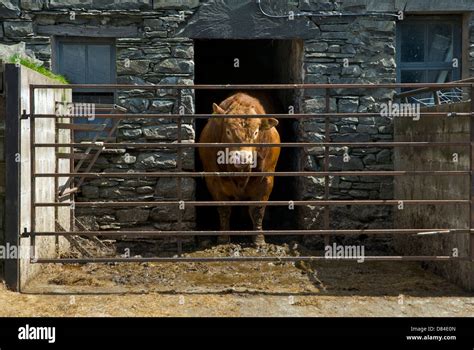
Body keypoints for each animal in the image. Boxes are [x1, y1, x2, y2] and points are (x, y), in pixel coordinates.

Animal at [197, 91, 280, 245]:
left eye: (256, 132)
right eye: (228, 132)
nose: (242, 158)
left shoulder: (266, 179)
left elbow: (257, 210)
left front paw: (258, 238)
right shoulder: (213, 180)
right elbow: (224, 209)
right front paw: (223, 237)